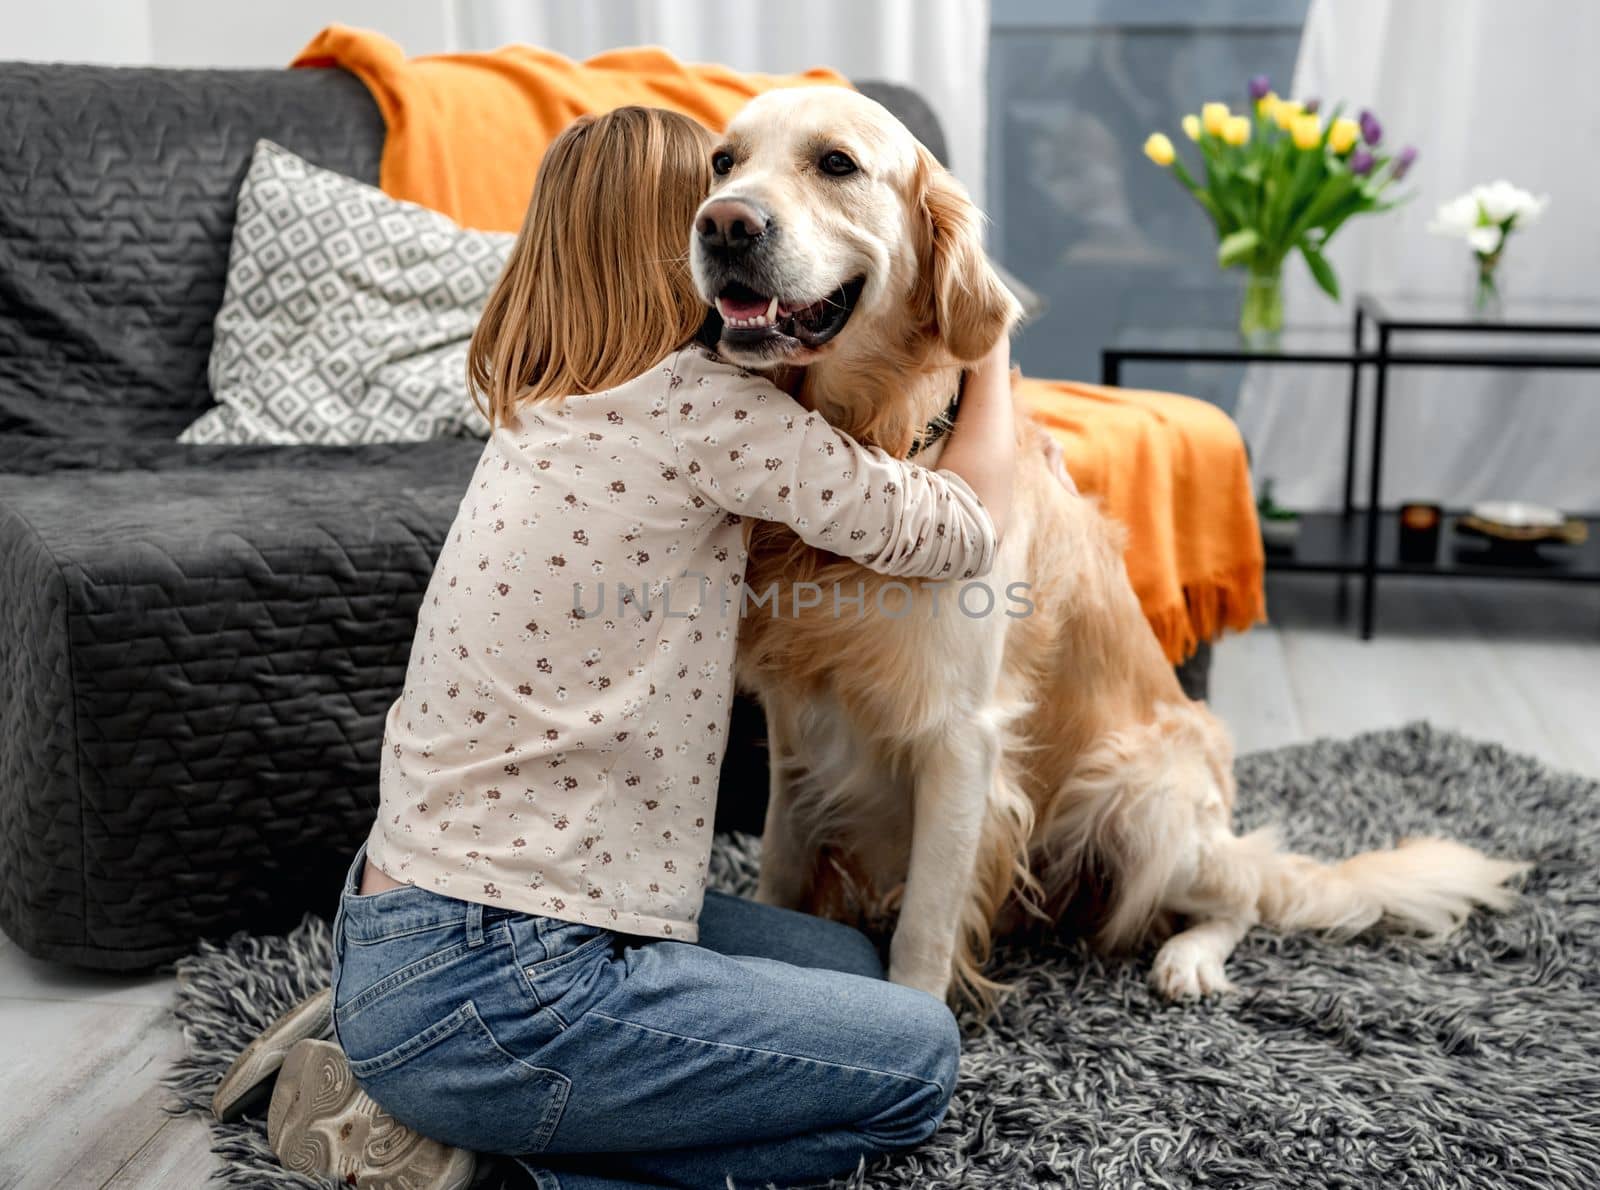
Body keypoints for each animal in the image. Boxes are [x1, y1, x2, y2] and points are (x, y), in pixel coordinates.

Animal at [684, 88, 1523, 1010]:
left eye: (836, 163)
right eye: (723, 162)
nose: (723, 224)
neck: (885, 436)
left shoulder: (961, 739)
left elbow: (925, 933)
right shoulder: (798, 733)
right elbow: (780, 868)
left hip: (1134, 791)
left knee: (1241, 893)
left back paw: (1189, 959)